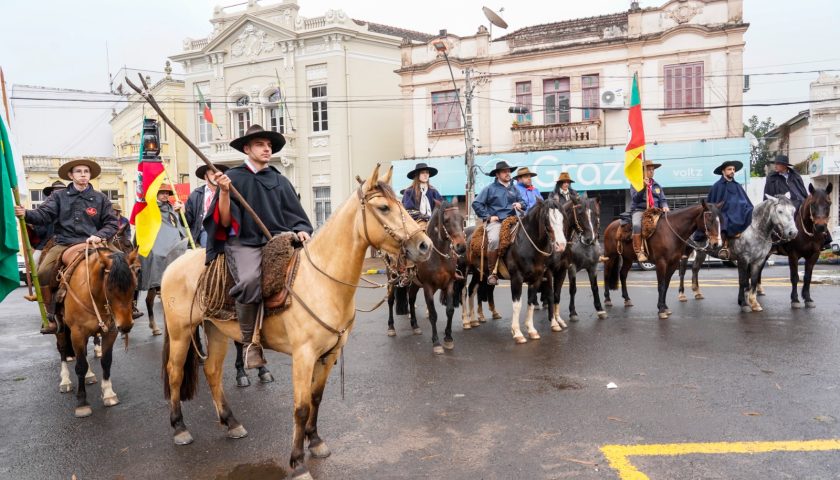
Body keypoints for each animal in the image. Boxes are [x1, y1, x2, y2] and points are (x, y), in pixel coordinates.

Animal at [55, 246, 139, 418]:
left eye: (135, 285)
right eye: (110, 288)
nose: (126, 326)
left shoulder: (111, 332)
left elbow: (106, 361)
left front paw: (108, 394)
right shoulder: (77, 333)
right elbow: (80, 365)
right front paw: (82, 402)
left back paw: (89, 375)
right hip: (62, 329)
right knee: (62, 350)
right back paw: (65, 381)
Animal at [159, 165, 431, 480]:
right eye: (384, 207)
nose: (425, 245)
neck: (323, 281)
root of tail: (174, 264)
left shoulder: (329, 354)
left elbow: (316, 398)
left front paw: (316, 441)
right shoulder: (303, 355)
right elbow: (300, 407)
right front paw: (297, 462)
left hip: (216, 330)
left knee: (212, 371)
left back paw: (231, 422)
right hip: (180, 332)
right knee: (175, 373)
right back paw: (179, 428)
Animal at [388, 200, 467, 354]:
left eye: (462, 219)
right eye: (446, 220)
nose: (461, 247)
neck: (438, 256)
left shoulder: (449, 284)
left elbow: (450, 310)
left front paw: (448, 338)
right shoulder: (428, 287)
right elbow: (433, 314)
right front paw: (436, 342)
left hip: (414, 283)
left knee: (411, 299)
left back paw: (415, 326)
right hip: (392, 279)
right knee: (390, 301)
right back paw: (391, 327)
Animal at [465, 199, 567, 344]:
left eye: (562, 218)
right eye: (547, 218)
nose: (561, 245)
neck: (527, 245)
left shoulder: (537, 279)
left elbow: (531, 302)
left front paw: (531, 330)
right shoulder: (516, 278)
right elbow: (517, 305)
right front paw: (517, 333)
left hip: (479, 273)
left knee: (472, 290)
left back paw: (473, 320)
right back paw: (466, 322)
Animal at [546, 195, 607, 324]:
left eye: (597, 214)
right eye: (579, 214)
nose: (590, 238)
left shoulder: (593, 267)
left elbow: (594, 287)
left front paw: (600, 309)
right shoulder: (571, 267)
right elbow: (573, 289)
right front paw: (573, 312)